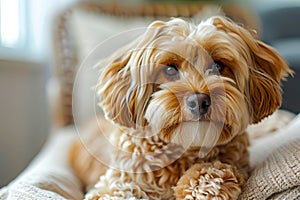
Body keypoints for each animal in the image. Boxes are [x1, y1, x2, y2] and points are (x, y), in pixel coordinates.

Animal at [69, 16, 290, 199]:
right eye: (169, 69)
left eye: (218, 66)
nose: (199, 101)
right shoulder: (116, 181)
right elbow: (115, 190)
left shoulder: (237, 163)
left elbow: (215, 169)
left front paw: (202, 186)